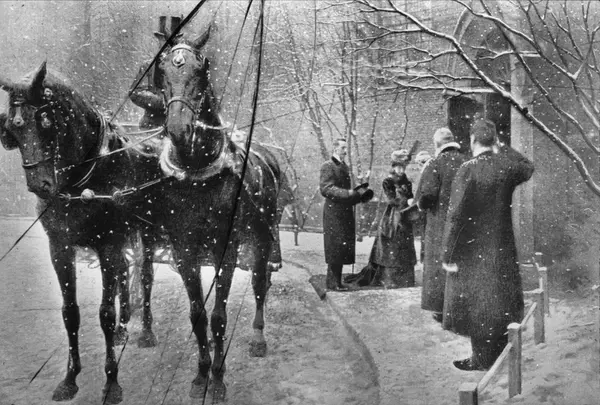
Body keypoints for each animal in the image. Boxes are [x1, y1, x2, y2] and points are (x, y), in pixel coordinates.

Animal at [0, 62, 165, 404]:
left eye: (45, 121)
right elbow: (70, 312)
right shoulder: (60, 247)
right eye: (12, 128)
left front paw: (112, 382)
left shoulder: (108, 243)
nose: (41, 187)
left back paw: (145, 331)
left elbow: (104, 313)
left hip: (144, 230)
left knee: (144, 274)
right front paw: (70, 377)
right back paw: (124, 326)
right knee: (124, 272)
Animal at [155, 28, 284, 400]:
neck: (198, 174)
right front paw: (201, 374)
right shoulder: (184, 250)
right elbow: (198, 314)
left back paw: (258, 336)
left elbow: (219, 317)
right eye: (162, 71)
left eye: (202, 70)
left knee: (259, 281)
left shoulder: (226, 249)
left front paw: (218, 378)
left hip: (263, 234)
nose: (178, 128)